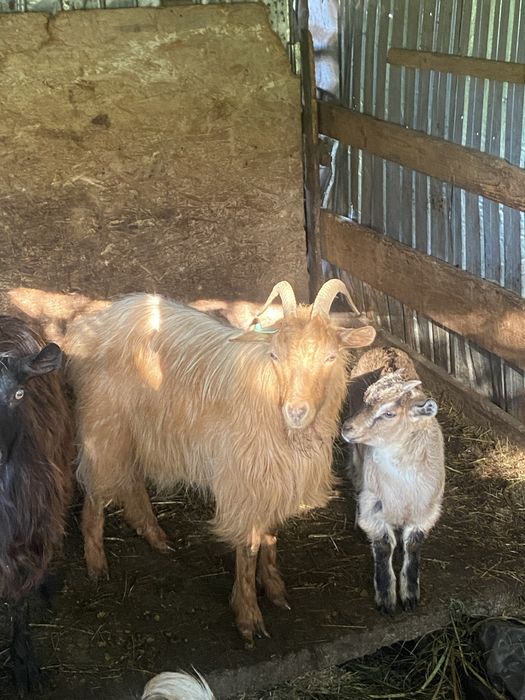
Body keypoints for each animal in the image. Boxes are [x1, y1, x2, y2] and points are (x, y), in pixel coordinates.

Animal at [65, 279, 375, 643]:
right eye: (275, 355)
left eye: (330, 356)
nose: (296, 412)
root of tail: (94, 322)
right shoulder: (243, 480)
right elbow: (249, 546)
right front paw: (248, 616)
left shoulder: (273, 479)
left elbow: (270, 535)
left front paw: (275, 590)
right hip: (105, 421)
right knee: (96, 483)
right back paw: (96, 563)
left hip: (138, 427)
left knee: (131, 478)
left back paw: (154, 535)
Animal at [341, 347, 445, 614]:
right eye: (365, 398)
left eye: (388, 413)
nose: (347, 428)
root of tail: (387, 349)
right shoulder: (374, 507)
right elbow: (384, 546)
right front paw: (386, 598)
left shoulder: (426, 509)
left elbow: (413, 545)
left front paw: (410, 595)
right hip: (357, 458)